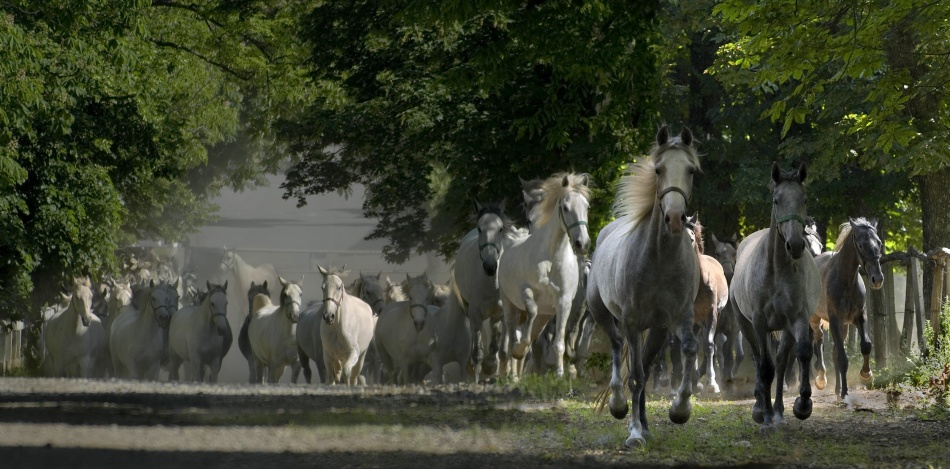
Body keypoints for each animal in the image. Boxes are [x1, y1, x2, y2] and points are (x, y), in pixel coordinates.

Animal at [494, 172, 592, 376]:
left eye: (587, 206)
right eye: (565, 207)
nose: (582, 243)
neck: (551, 259)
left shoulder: (563, 302)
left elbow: (559, 342)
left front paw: (560, 375)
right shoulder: (527, 292)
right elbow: (530, 313)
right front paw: (520, 350)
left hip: (545, 315)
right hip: (509, 304)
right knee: (511, 332)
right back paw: (509, 368)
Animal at [732, 163, 820, 434]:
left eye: (804, 199)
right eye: (777, 200)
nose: (796, 245)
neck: (777, 269)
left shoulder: (798, 319)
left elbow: (802, 354)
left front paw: (803, 405)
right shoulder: (760, 323)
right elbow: (764, 367)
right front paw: (765, 416)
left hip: (787, 329)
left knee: (781, 363)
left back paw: (779, 411)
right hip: (746, 325)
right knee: (759, 360)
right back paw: (761, 408)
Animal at [812, 217, 884, 402]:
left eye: (879, 242)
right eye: (861, 245)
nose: (877, 279)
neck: (846, 281)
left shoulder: (859, 317)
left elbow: (866, 345)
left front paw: (866, 374)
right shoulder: (835, 320)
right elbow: (843, 359)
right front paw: (845, 394)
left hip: (843, 326)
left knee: (834, 352)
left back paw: (837, 390)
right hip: (815, 319)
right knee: (819, 339)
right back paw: (822, 380)